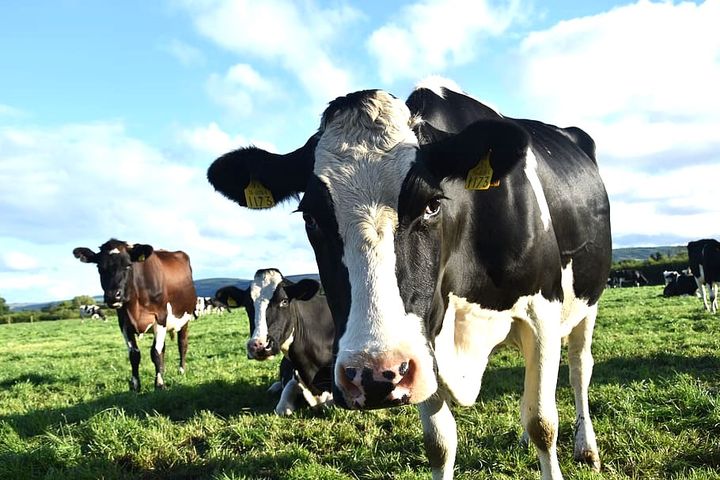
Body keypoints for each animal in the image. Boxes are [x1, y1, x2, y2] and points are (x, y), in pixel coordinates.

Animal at [74, 238, 197, 392]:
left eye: (128, 265)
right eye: (99, 267)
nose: (113, 295)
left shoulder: (161, 318)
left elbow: (155, 353)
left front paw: (159, 384)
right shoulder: (124, 323)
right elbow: (134, 354)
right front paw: (135, 385)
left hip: (185, 319)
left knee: (182, 344)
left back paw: (181, 370)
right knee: (163, 348)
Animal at [205, 79, 612, 480]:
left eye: (432, 205)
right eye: (311, 217)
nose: (372, 375)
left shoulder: (541, 312)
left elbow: (542, 423)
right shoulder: (422, 337)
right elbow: (440, 444)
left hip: (587, 305)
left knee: (579, 369)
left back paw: (586, 447)